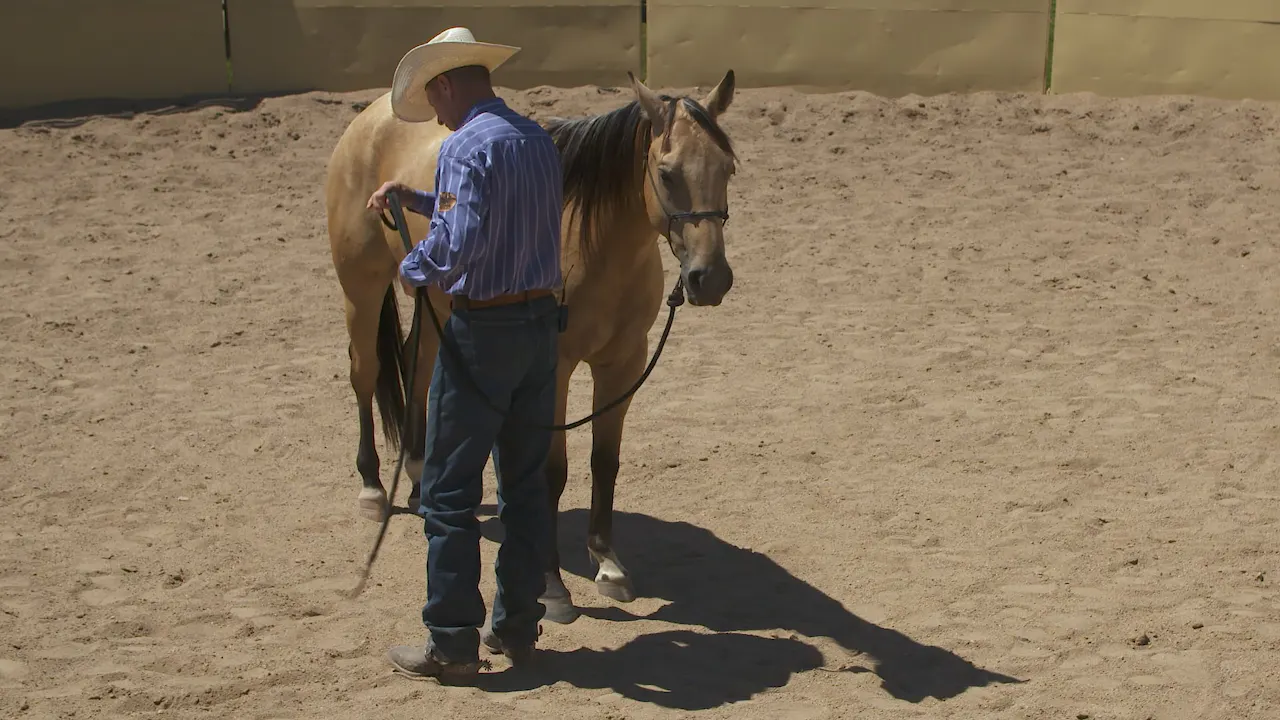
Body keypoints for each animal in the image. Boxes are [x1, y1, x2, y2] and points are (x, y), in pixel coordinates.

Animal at [324, 69, 738, 623]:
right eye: (668, 174)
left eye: (727, 169)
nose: (709, 279)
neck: (592, 240)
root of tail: (372, 116)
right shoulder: (554, 369)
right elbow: (550, 472)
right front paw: (553, 587)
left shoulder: (623, 364)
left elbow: (604, 461)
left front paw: (608, 565)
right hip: (362, 287)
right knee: (365, 370)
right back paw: (372, 486)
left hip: (438, 302)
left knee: (418, 362)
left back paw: (415, 472)